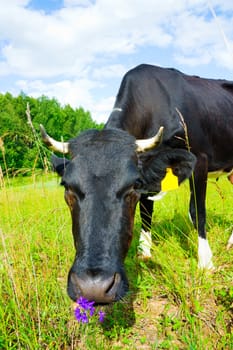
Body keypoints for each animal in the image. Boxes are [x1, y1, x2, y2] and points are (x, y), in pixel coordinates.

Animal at [41, 63, 233, 304]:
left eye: (132, 186)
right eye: (67, 187)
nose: (92, 287)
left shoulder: (200, 159)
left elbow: (197, 212)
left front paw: (206, 262)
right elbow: (146, 211)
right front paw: (144, 251)